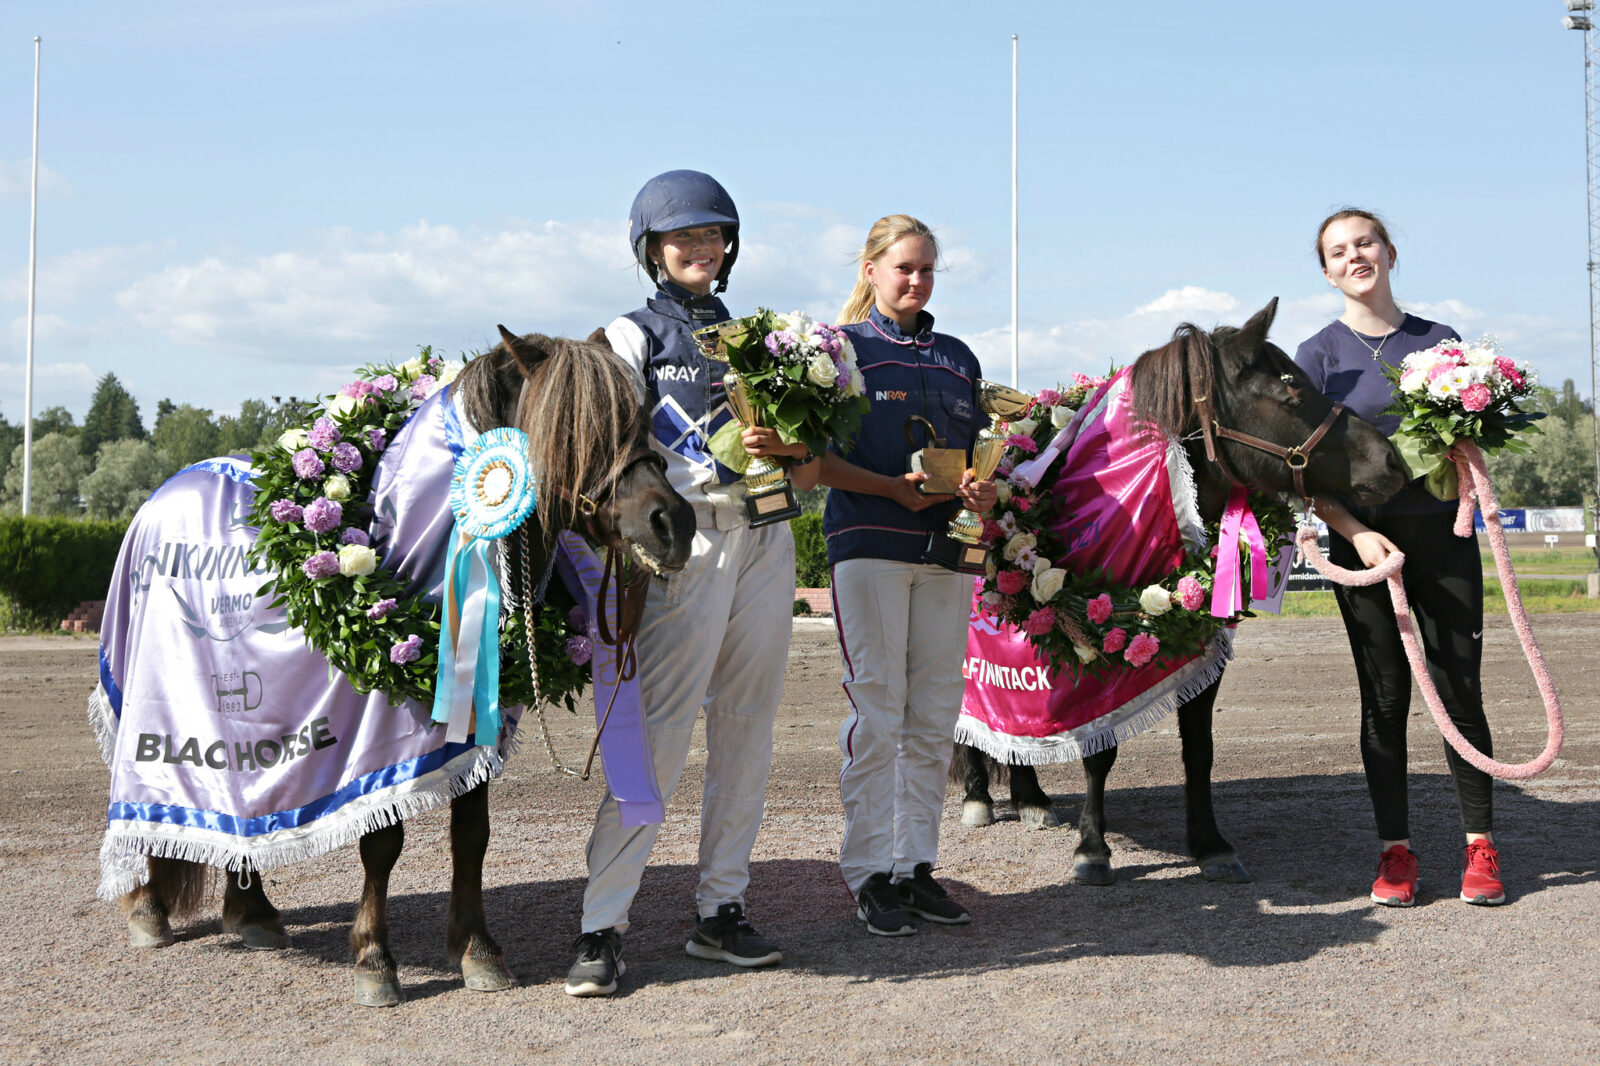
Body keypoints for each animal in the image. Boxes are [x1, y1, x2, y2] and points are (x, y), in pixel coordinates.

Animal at [118, 328, 694, 998]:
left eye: (642, 420)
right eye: (577, 429)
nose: (674, 523)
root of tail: (165, 492)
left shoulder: (470, 725)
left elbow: (471, 835)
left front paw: (477, 951)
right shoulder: (371, 737)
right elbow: (382, 841)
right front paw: (374, 960)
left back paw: (252, 912)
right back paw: (148, 910)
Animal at [953, 296, 1408, 877]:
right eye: (1291, 390)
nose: (1393, 462)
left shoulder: (1197, 645)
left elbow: (1199, 748)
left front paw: (1209, 843)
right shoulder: (1091, 660)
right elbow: (1099, 753)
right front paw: (1092, 848)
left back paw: (1030, 798)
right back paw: (978, 797)